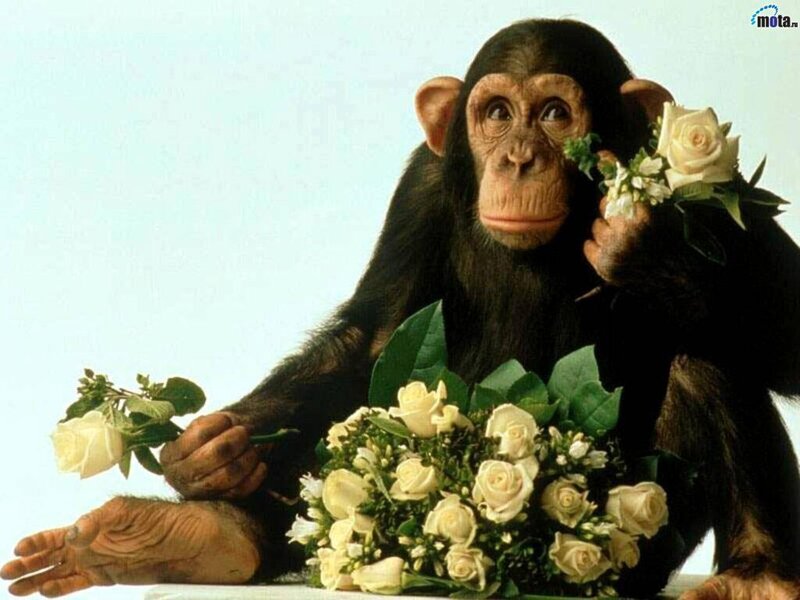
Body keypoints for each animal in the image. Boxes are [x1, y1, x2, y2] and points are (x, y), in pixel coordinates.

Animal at [3, 19, 800, 599]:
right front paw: (207, 449)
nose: (518, 157)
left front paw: (652, 254)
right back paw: (190, 538)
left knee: (704, 356)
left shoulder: (716, 195)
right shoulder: (418, 187)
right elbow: (374, 333)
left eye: (553, 113)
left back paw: (756, 577)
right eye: (497, 112)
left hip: (644, 544)